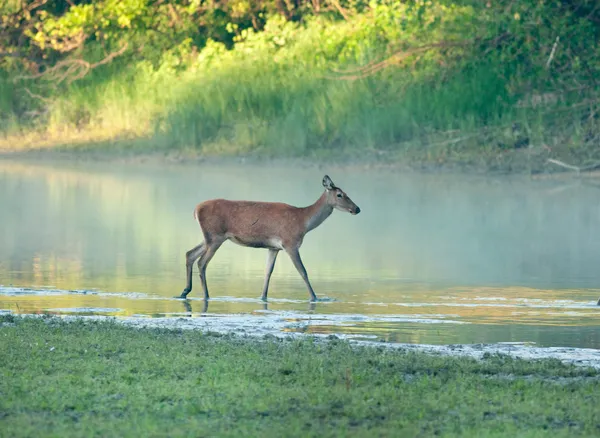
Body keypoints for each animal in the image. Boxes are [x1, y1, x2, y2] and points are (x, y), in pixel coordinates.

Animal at [179, 175, 360, 302]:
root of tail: (196, 209)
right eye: (340, 194)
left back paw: (185, 291)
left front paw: (263, 296)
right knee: (202, 262)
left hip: (209, 238)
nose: (357, 208)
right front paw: (315, 298)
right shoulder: (290, 243)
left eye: (346, 193)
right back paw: (206, 295)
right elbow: (303, 271)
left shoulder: (273, 247)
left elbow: (268, 272)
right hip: (215, 236)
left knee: (190, 254)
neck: (303, 222)